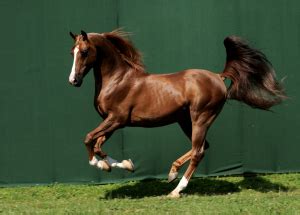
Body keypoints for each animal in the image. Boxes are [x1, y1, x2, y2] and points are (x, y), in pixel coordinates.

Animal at [68, 29, 286, 197]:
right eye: (72, 52)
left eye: (85, 51)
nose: (73, 81)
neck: (118, 80)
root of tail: (218, 76)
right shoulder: (112, 123)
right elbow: (98, 145)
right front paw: (122, 165)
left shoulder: (116, 119)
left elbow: (88, 139)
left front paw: (102, 165)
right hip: (185, 121)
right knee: (203, 147)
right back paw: (172, 173)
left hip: (201, 118)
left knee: (198, 151)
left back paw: (176, 190)